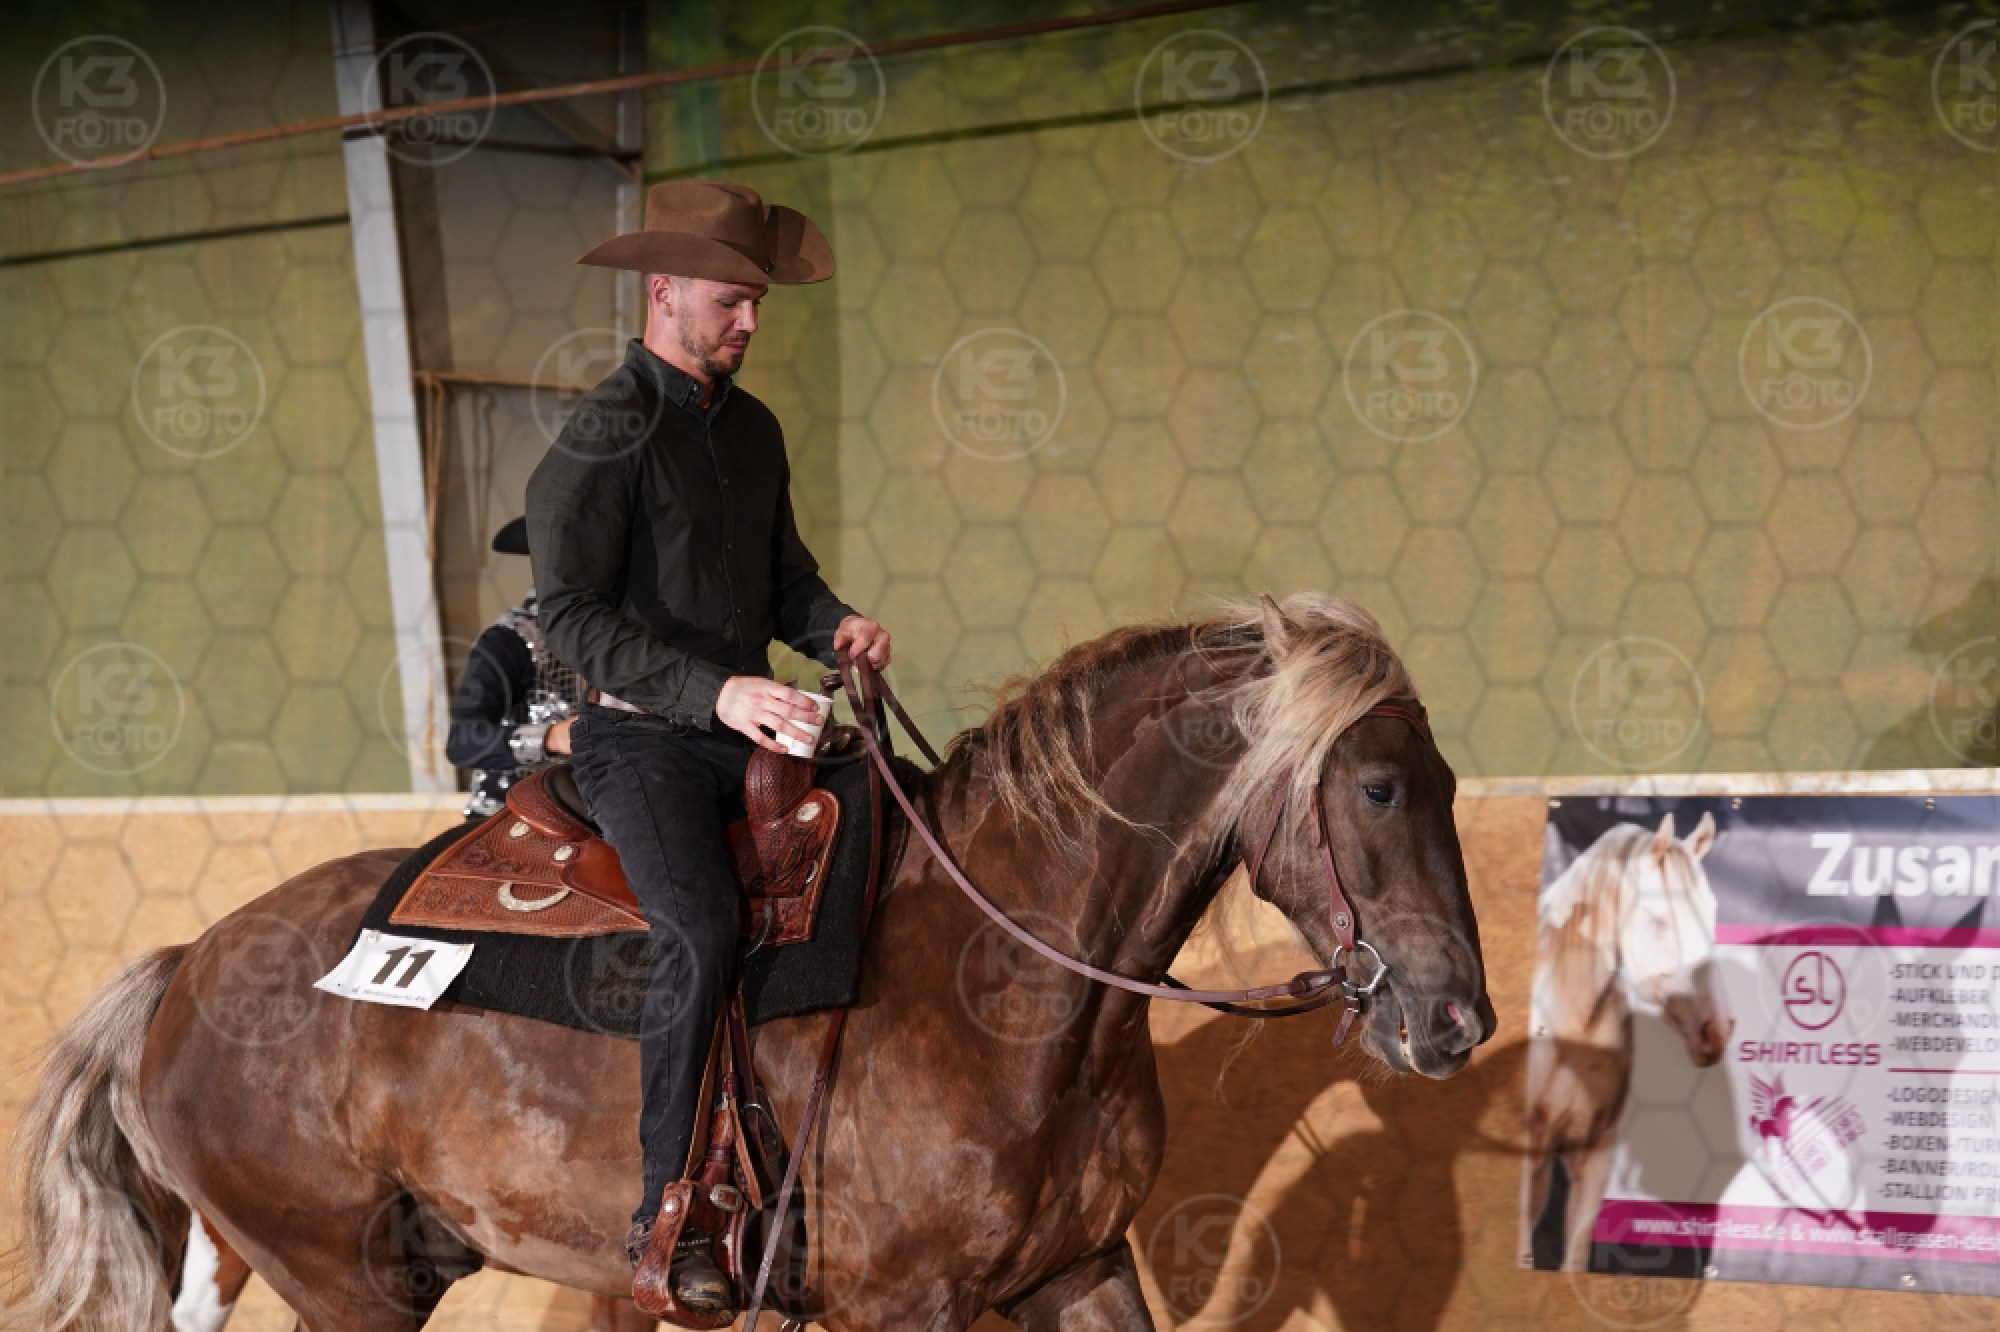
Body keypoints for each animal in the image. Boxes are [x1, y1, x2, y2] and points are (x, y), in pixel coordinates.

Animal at [13, 592, 1494, 1331]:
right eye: (1374, 787)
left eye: (1445, 781)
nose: (1456, 1022)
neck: (1013, 981)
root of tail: (187, 964)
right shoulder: (903, 1311)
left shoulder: (1080, 1269)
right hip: (345, 1286)